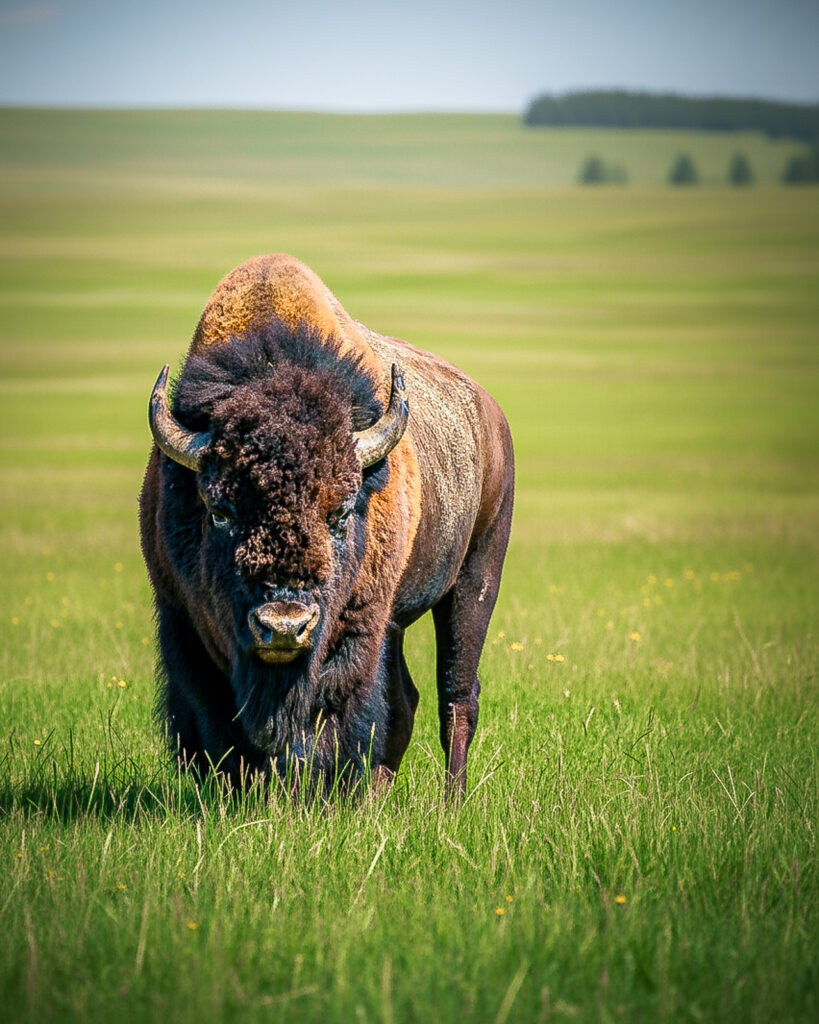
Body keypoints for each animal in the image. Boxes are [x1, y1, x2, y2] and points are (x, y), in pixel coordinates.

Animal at [139, 254, 514, 793]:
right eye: (219, 511)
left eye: (339, 511)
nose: (284, 625)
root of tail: (490, 414)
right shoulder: (181, 620)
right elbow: (213, 719)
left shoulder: (357, 627)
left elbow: (330, 715)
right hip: (400, 621)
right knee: (408, 698)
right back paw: (379, 790)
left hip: (475, 581)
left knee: (456, 698)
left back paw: (452, 800)